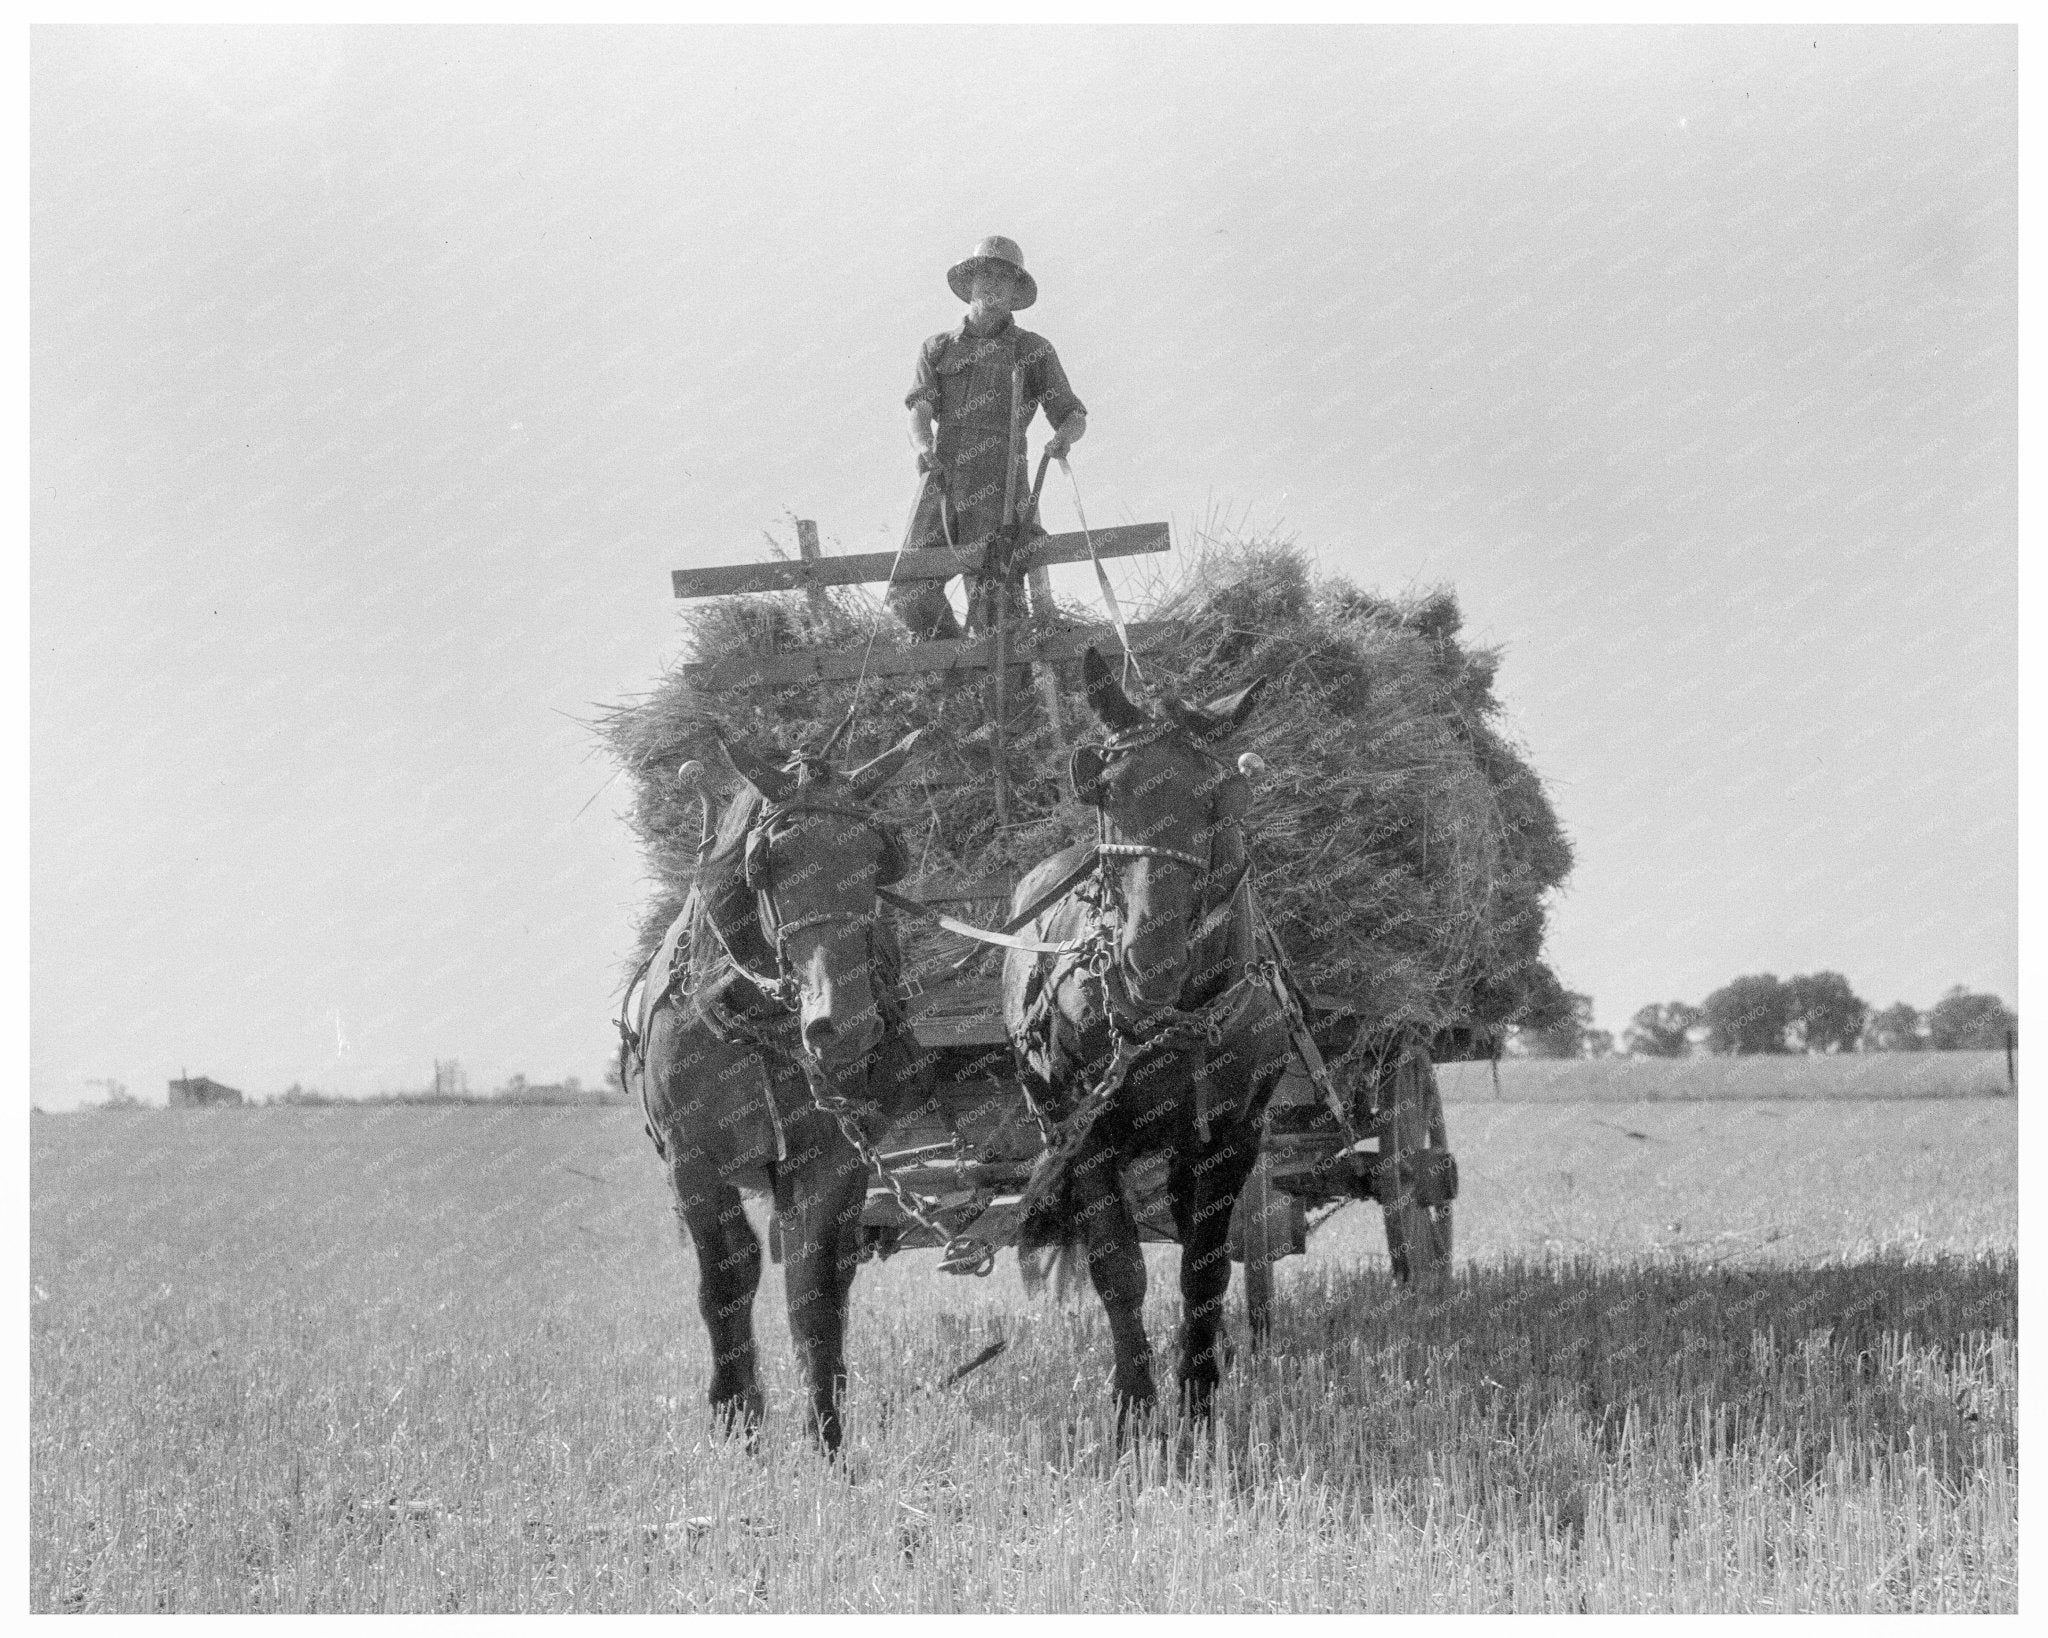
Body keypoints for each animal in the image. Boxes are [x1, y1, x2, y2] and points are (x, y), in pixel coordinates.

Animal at [614, 724, 921, 1449]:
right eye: (770, 863)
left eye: (875, 860)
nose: (846, 1026)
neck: (753, 1020)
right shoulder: (694, 1160)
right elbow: (728, 1277)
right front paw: (736, 1416)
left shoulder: (832, 1157)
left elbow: (812, 1288)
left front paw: (826, 1435)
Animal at [1003, 651, 1294, 1416]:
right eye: (1103, 788)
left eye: (1220, 798)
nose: (1147, 964)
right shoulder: (1086, 1136)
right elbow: (1119, 1271)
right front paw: (1135, 1405)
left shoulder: (1231, 1135)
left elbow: (1205, 1267)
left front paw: (1198, 1395)